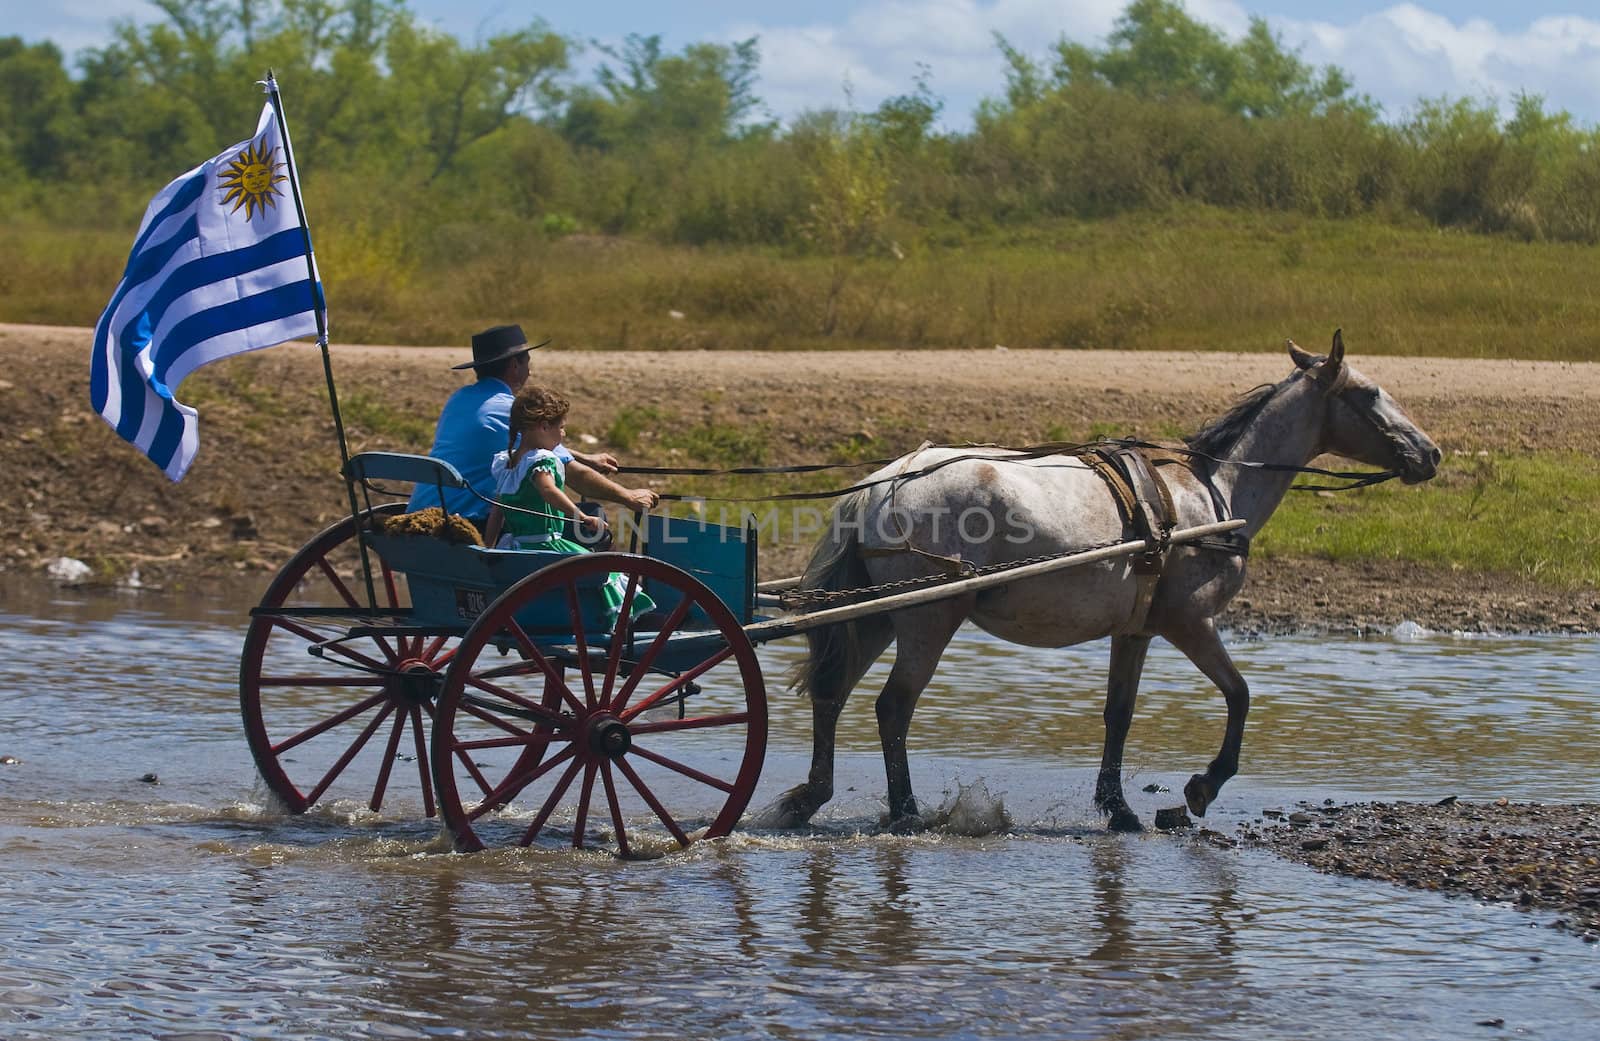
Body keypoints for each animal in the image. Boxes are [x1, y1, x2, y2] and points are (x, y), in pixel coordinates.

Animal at [771, 329, 1440, 837]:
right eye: (1369, 393)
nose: (1431, 453)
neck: (1209, 492)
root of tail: (884, 483)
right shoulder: (1189, 622)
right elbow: (1240, 695)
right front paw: (1201, 786)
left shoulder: (1136, 631)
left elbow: (1119, 713)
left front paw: (1118, 808)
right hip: (927, 617)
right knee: (893, 707)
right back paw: (906, 811)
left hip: (876, 616)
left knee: (832, 694)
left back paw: (811, 797)